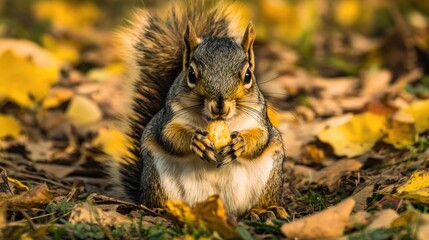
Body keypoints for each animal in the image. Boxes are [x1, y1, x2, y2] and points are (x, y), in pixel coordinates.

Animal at [110, 0, 284, 219]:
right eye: (191, 74)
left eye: (247, 76)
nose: (220, 105)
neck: (217, 122)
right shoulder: (169, 116)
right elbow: (168, 135)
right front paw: (196, 140)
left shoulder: (260, 118)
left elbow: (262, 138)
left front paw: (240, 143)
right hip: (157, 178)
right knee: (156, 198)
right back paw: (162, 209)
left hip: (268, 177)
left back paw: (264, 210)